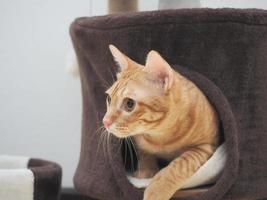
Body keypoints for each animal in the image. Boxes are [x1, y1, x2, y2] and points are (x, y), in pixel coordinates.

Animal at [103, 45, 219, 200]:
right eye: (109, 99)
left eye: (129, 104)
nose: (105, 121)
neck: (160, 136)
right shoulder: (140, 143)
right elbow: (144, 154)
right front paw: (146, 173)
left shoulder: (207, 145)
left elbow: (182, 164)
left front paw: (156, 190)